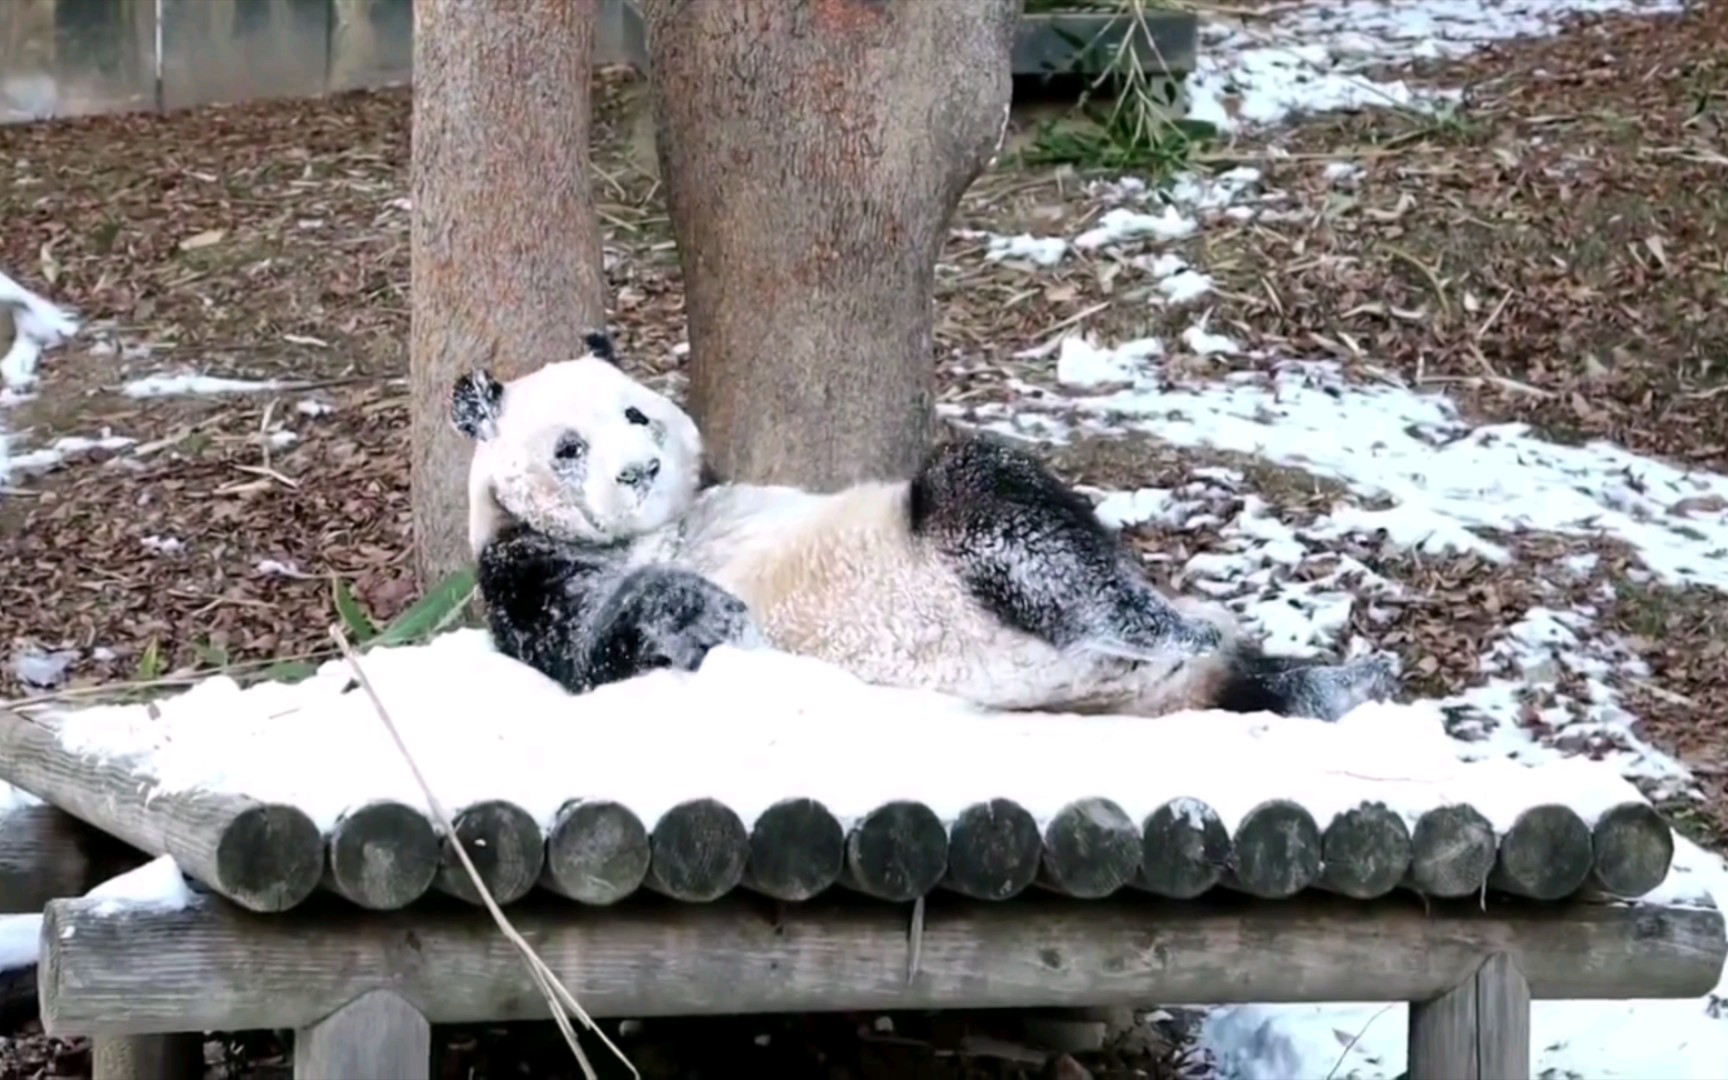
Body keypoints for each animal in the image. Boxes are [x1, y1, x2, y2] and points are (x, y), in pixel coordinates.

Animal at [449, 328, 1403, 715]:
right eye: (570, 447)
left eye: (637, 415)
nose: (639, 473)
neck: (656, 529)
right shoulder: (524, 565)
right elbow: (587, 647)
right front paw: (702, 611)